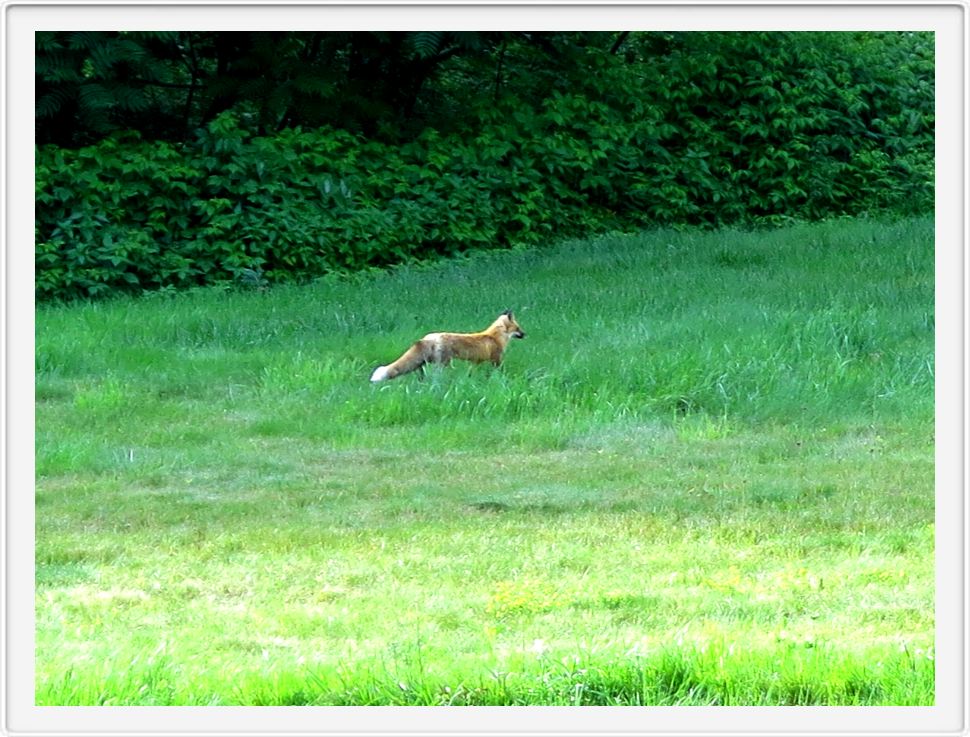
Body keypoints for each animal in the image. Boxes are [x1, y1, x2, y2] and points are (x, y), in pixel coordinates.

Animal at [370, 310, 524, 382]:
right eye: (518, 328)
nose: (525, 334)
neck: (495, 337)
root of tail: (428, 337)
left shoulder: (475, 362)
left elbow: (471, 374)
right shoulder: (496, 359)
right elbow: (499, 372)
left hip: (426, 363)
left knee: (422, 373)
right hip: (443, 363)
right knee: (435, 376)